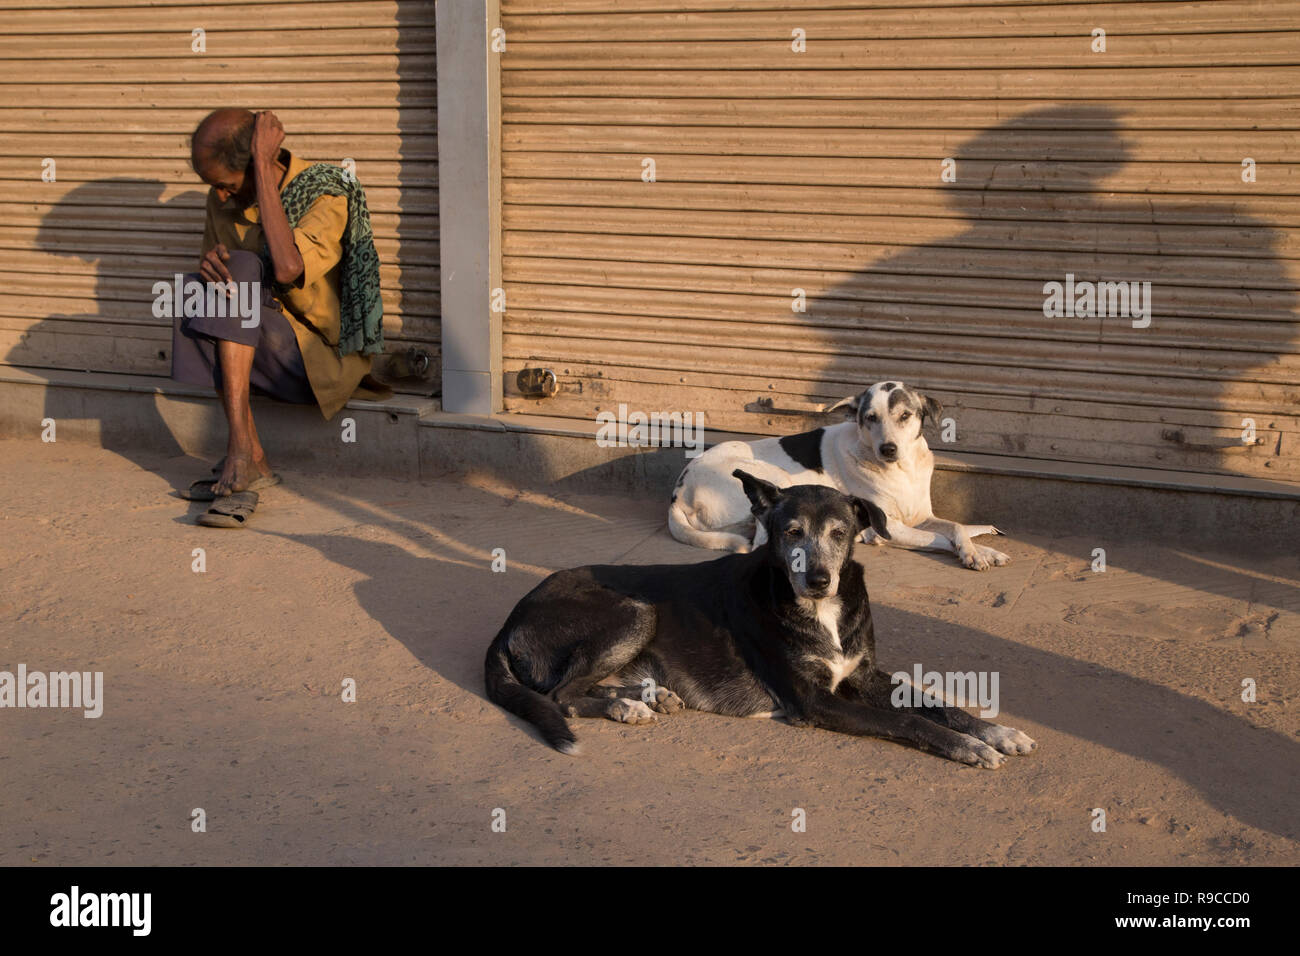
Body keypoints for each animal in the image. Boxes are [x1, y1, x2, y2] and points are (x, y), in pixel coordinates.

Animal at [486, 470, 1034, 770]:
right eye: (791, 531)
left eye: (840, 533)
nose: (818, 579)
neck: (821, 611)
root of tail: (512, 617)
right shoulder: (814, 701)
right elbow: (907, 720)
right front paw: (968, 747)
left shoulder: (866, 675)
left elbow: (938, 704)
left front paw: (996, 732)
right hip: (636, 610)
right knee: (561, 693)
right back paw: (627, 706)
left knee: (579, 685)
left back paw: (648, 696)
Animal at [665, 382, 1008, 572]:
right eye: (870, 418)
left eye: (905, 416)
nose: (888, 449)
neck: (903, 470)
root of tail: (678, 491)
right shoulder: (889, 528)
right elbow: (941, 538)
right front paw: (976, 552)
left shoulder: (922, 516)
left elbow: (954, 527)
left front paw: (978, 548)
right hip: (774, 478)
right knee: (761, 540)